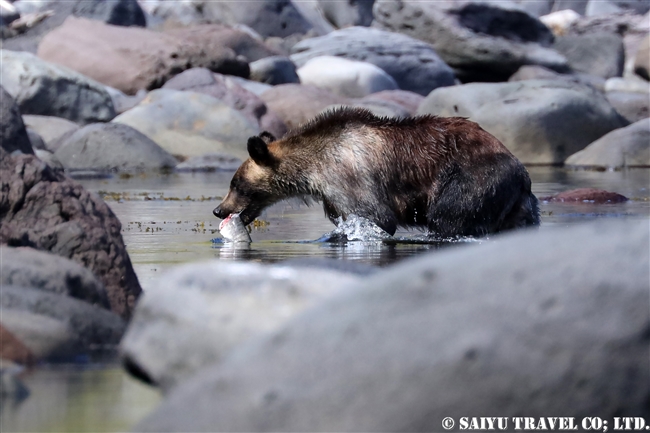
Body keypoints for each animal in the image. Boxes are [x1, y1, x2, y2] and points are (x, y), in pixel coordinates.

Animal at [213, 107, 536, 236]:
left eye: (236, 184)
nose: (218, 210)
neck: (313, 169)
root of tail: (521, 172)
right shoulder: (333, 196)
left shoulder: (350, 178)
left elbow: (376, 217)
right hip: (516, 204)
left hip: (471, 178)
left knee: (449, 217)